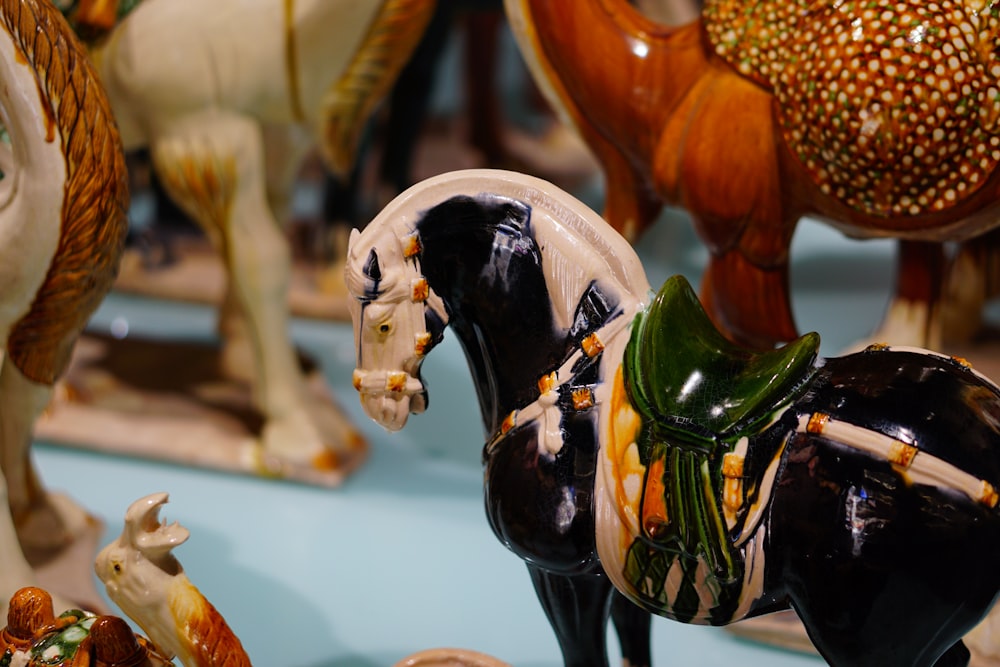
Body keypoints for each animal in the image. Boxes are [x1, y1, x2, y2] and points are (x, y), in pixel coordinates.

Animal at [58, 0, 434, 480]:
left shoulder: (272, 140)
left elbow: (251, 252)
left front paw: (243, 362)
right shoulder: (203, 135)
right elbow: (264, 262)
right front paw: (301, 429)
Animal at [348, 170, 1000, 664]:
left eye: (379, 321)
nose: (382, 405)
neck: (572, 371)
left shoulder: (562, 577)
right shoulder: (625, 575)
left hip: (866, 641)